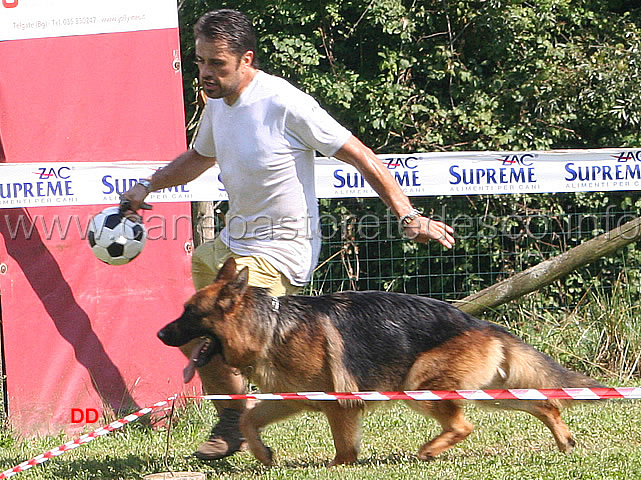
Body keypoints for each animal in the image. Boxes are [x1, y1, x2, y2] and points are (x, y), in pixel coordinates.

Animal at [158, 258, 604, 464]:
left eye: (188, 313)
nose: (160, 335)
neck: (268, 326)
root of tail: (477, 321)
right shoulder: (296, 398)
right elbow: (250, 418)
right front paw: (263, 454)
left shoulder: (336, 403)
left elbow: (343, 446)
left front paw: (340, 466)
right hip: (492, 388)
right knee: (547, 403)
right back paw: (564, 440)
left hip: (420, 384)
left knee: (463, 425)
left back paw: (429, 450)